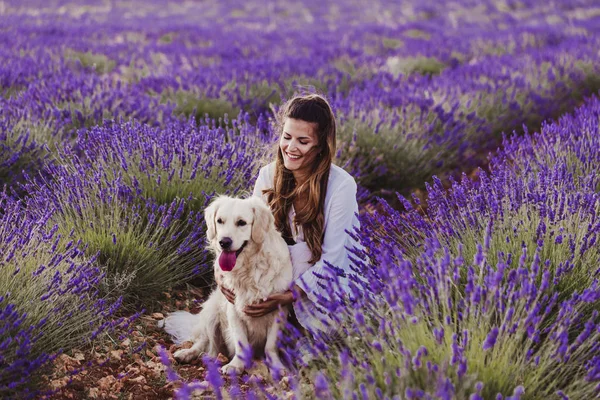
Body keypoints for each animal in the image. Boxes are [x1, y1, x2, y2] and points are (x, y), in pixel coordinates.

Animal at [162, 195, 292, 374]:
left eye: (242, 222)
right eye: (220, 221)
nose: (224, 242)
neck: (249, 268)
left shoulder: (278, 309)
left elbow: (270, 346)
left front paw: (277, 366)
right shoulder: (233, 308)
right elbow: (241, 341)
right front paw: (236, 365)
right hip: (211, 314)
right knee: (205, 344)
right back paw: (188, 354)